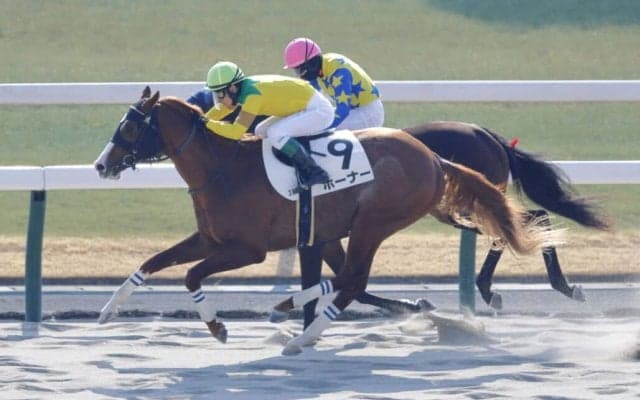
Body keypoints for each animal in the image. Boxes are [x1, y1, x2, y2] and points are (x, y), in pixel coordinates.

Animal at [93, 87, 559, 351]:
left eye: (131, 127)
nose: (101, 166)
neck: (223, 166)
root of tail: (434, 158)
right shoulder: (211, 239)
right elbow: (151, 263)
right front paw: (107, 311)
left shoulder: (249, 249)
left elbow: (190, 276)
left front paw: (218, 327)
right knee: (351, 280)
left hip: (379, 221)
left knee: (353, 280)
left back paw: (300, 335)